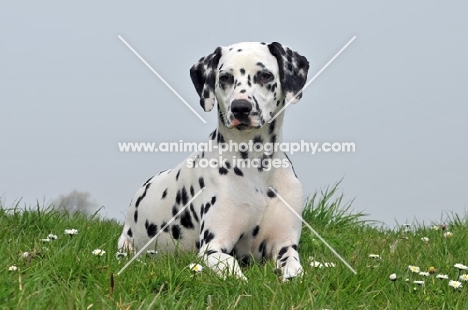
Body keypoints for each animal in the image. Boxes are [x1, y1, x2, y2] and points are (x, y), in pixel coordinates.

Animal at [117, 41, 308, 280]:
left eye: (265, 75)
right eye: (224, 77)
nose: (241, 107)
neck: (256, 166)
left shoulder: (285, 245)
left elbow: (295, 269)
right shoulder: (212, 249)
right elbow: (234, 270)